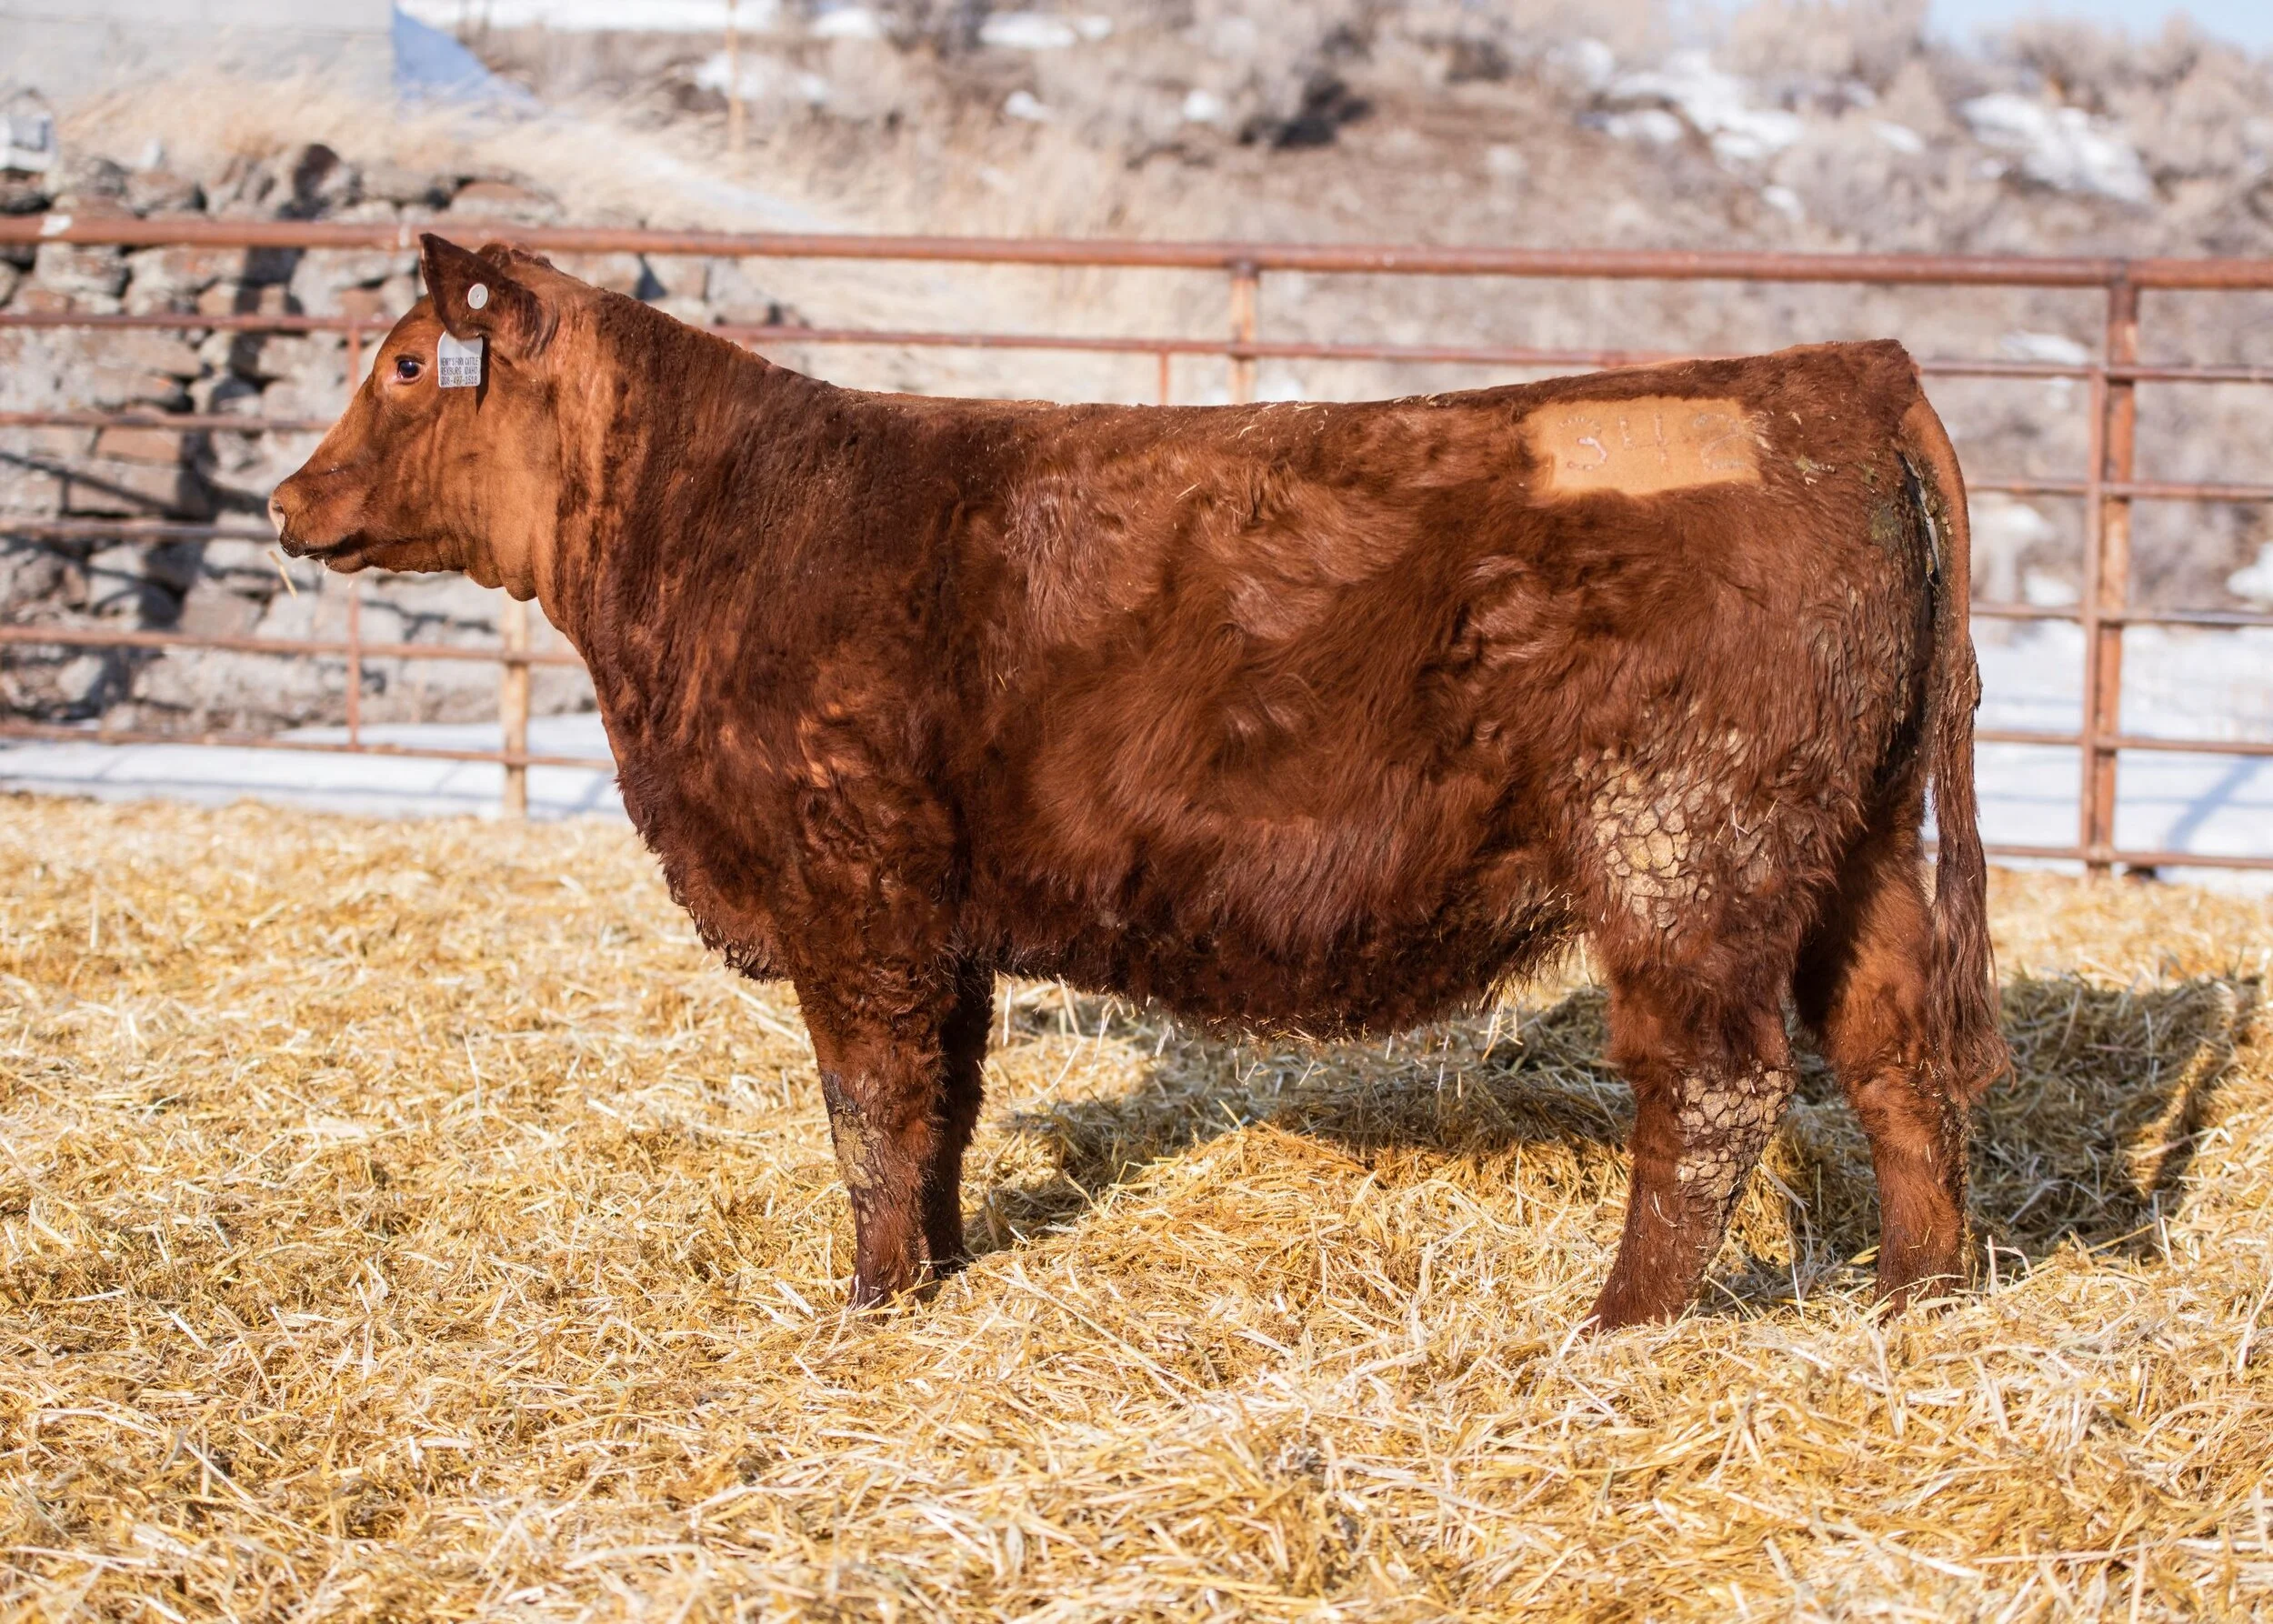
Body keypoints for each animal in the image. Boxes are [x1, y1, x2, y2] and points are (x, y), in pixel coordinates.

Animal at [271, 234, 2008, 1330]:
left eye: (412, 361)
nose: (290, 501)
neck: (726, 526)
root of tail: (1840, 373)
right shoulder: (941, 918)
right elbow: (946, 1103)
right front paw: (939, 1270)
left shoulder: (856, 893)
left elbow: (867, 1107)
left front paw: (870, 1299)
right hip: (1848, 846)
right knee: (1891, 1048)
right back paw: (1914, 1292)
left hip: (1685, 844)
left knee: (1714, 1085)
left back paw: (1620, 1328)